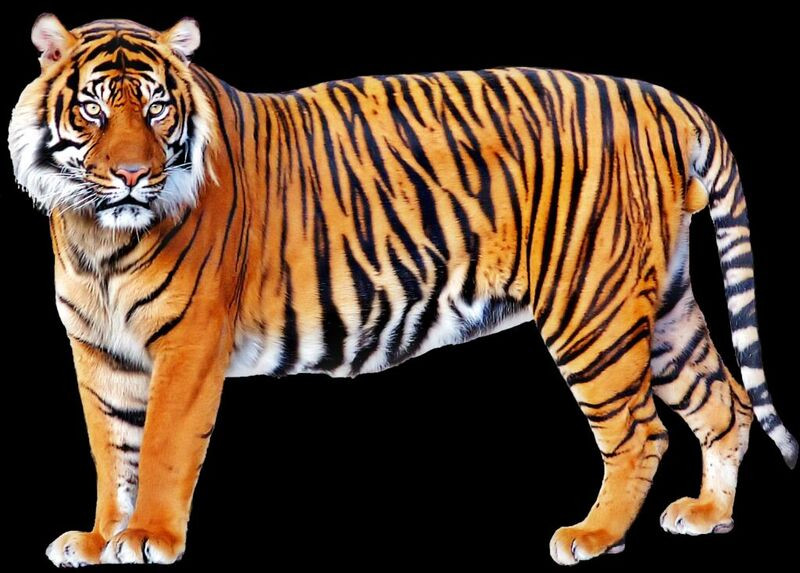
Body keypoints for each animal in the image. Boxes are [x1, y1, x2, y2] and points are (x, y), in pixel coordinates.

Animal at [8, 13, 797, 567]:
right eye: (94, 110)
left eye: (157, 110)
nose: (133, 176)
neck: (96, 237)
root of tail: (663, 98)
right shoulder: (100, 351)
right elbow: (113, 450)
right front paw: (100, 538)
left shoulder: (189, 342)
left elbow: (163, 445)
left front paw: (147, 537)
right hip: (661, 306)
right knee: (724, 402)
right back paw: (708, 514)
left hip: (592, 309)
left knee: (640, 431)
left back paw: (594, 534)